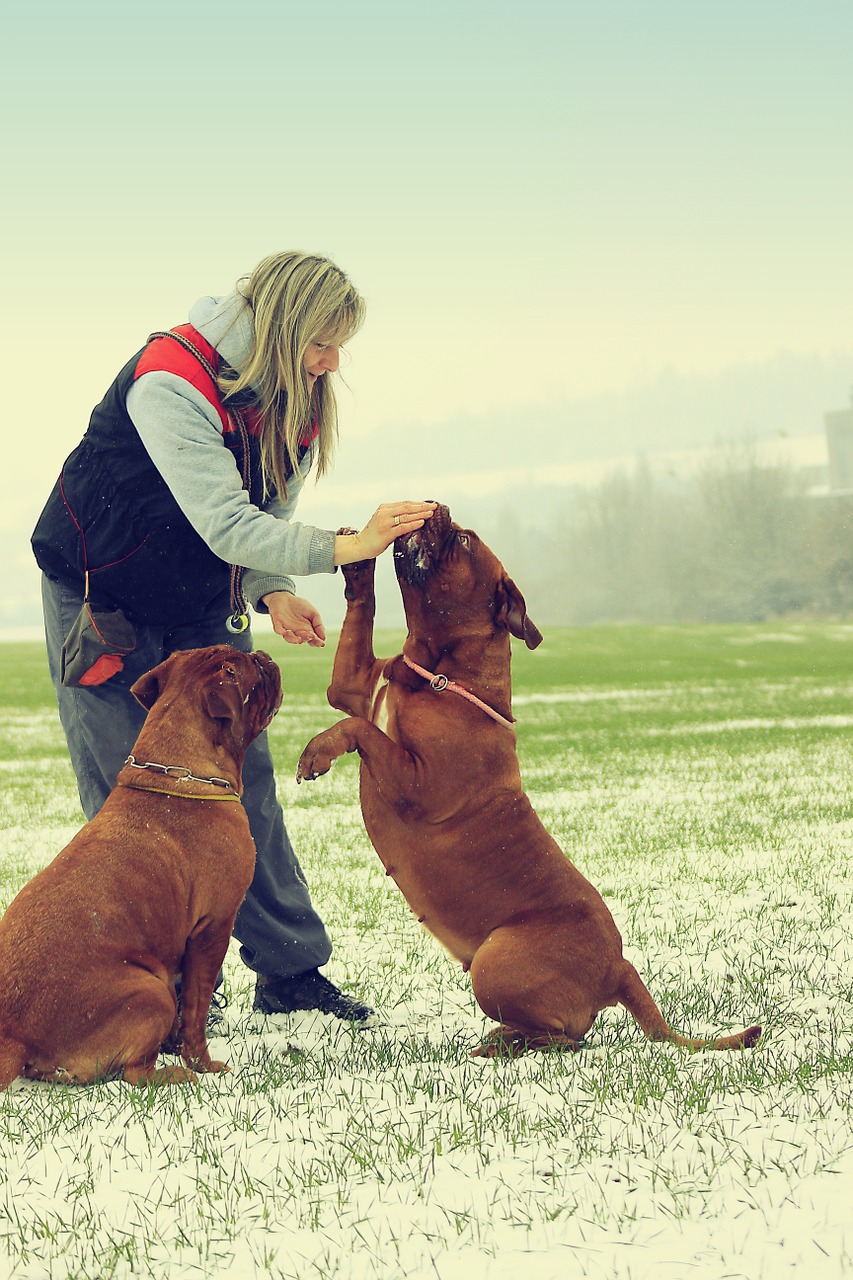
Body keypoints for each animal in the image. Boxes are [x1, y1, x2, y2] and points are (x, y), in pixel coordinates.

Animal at [0, 645, 280, 1085]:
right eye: (250, 667)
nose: (263, 654)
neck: (181, 774)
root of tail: (13, 1035)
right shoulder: (214, 927)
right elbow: (196, 1010)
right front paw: (203, 1063)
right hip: (151, 991)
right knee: (135, 1073)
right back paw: (176, 1074)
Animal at [295, 504, 758, 1054]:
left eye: (464, 541)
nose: (436, 507)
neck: (440, 674)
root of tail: (619, 967)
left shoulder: (416, 785)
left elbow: (359, 729)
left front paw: (317, 753)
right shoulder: (352, 685)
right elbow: (359, 627)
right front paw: (358, 561)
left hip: (495, 961)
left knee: (566, 1039)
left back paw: (499, 1044)